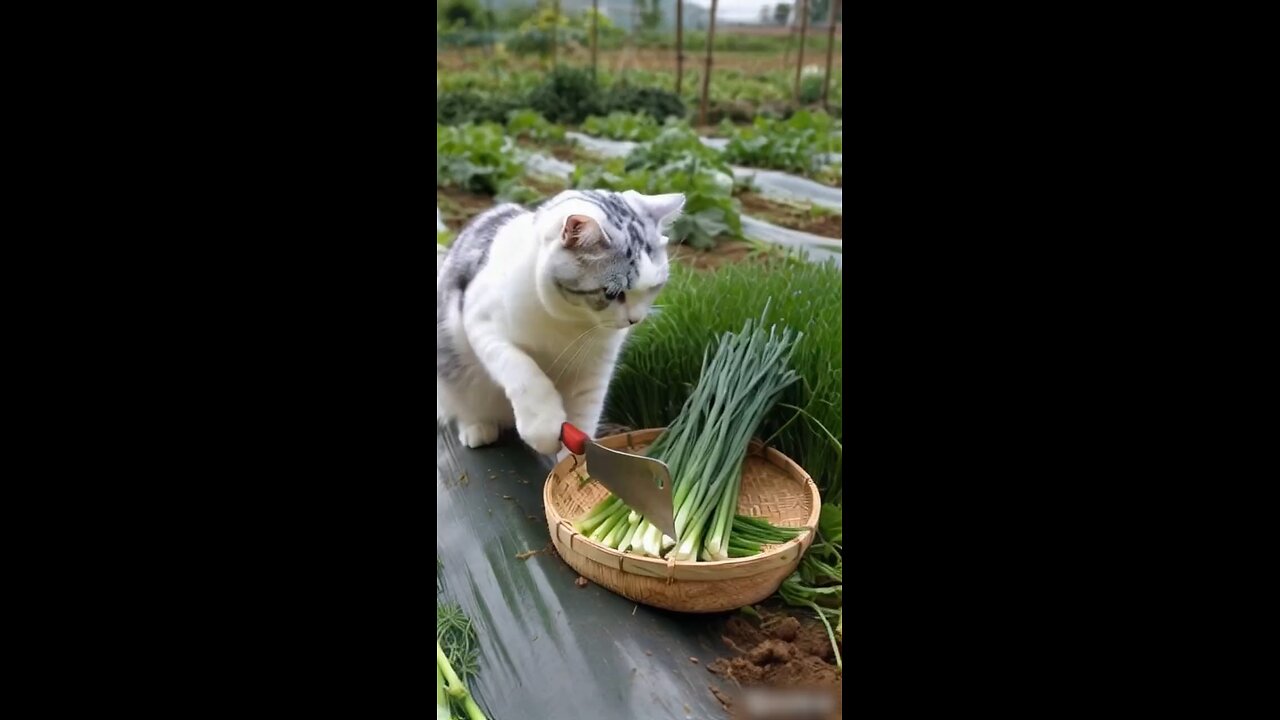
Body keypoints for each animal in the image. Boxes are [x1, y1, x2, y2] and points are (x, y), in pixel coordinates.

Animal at [437, 189, 686, 453]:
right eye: (612, 293)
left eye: (654, 287)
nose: (634, 319)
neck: (569, 321)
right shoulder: (483, 324)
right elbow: (523, 370)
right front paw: (542, 426)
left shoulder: (593, 371)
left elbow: (583, 419)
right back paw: (477, 427)